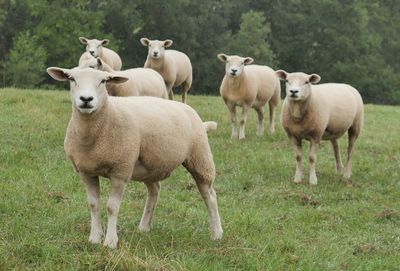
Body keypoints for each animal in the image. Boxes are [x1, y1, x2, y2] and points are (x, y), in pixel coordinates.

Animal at [46, 66, 225, 249]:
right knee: (154, 191)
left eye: (103, 81)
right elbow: (93, 205)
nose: (86, 99)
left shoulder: (121, 170)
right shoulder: (86, 172)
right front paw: (95, 238)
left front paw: (110, 242)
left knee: (210, 195)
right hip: (151, 166)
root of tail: (189, 110)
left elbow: (112, 207)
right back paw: (144, 227)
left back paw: (217, 233)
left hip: (200, 158)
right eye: (72, 79)